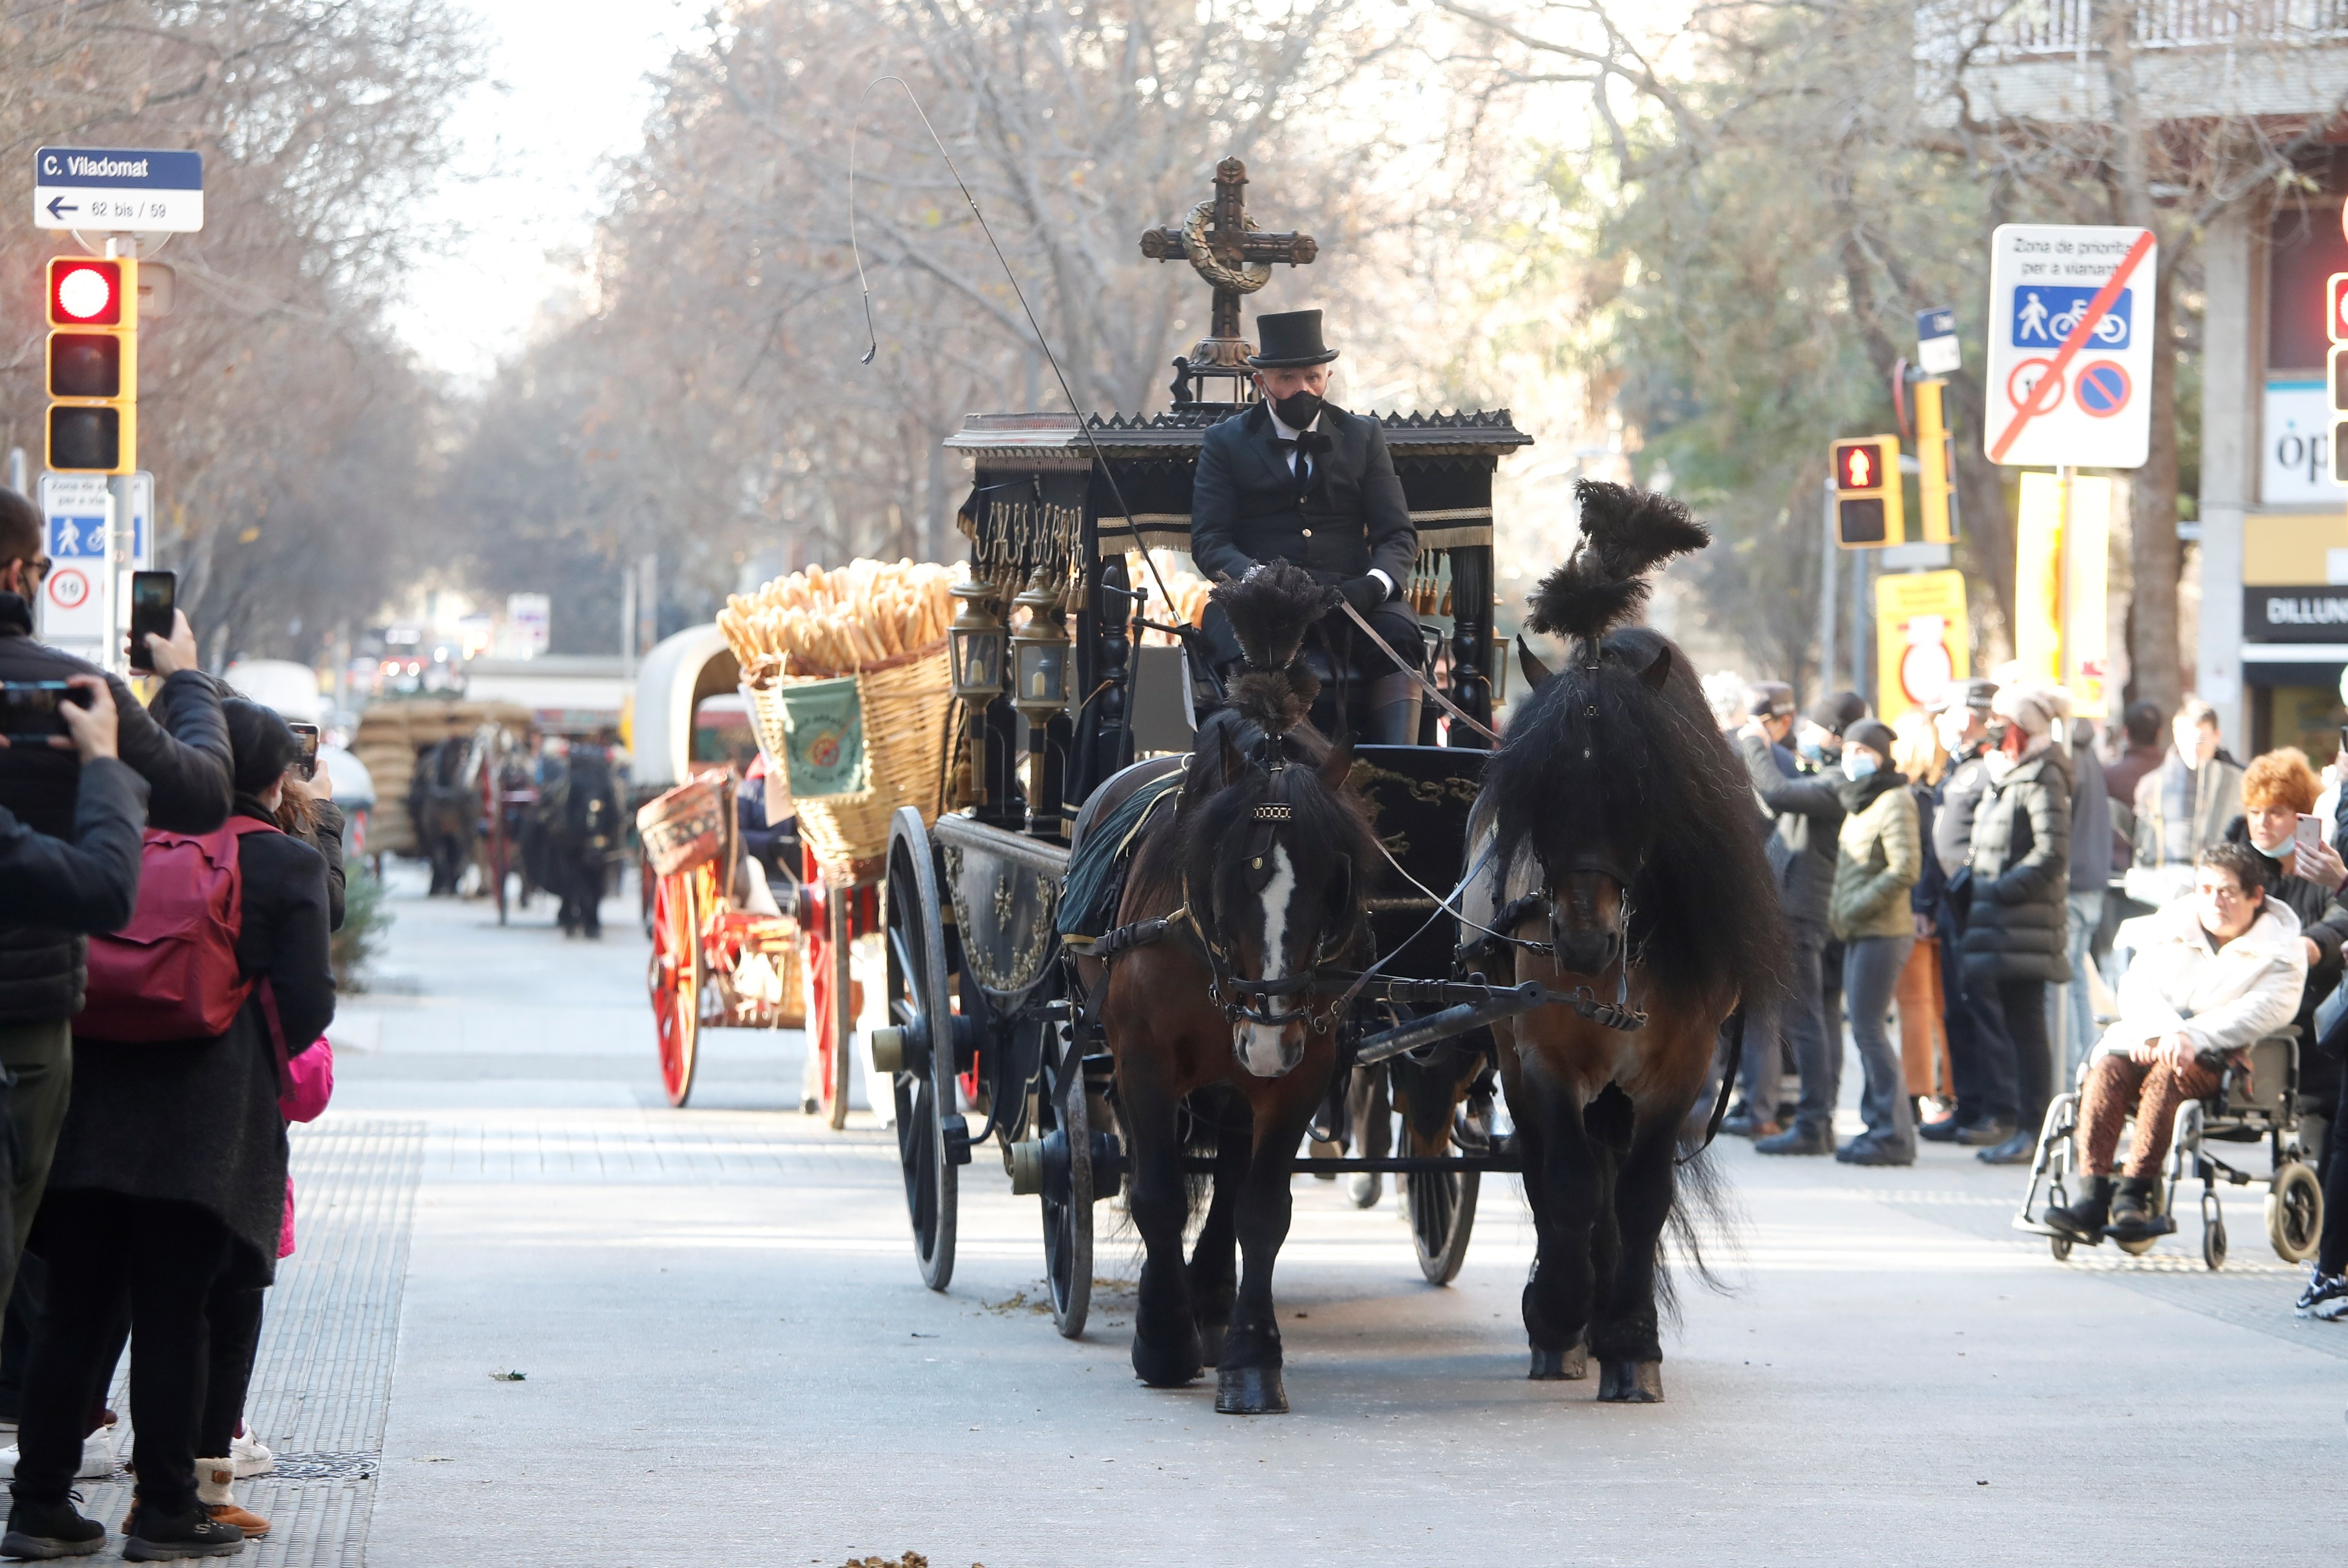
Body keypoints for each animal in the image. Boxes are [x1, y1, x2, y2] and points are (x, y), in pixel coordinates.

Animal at [1089, 561, 1380, 1408]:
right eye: (1227, 874)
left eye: (1333, 883)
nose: (1269, 1031)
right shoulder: (1141, 1061)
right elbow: (1155, 1194)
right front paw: (1163, 1340)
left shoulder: (1305, 1071)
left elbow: (1260, 1209)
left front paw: (1252, 1357)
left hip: (1237, 1081)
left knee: (1224, 1179)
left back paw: (1215, 1302)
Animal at [1474, 483, 1784, 1399]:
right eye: (1534, 785)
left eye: (1639, 787)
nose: (1582, 942)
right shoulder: (1542, 1057)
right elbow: (1568, 1185)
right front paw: (1561, 1319)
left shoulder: (1680, 1066)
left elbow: (1642, 1196)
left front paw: (1631, 1341)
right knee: (1548, 1172)